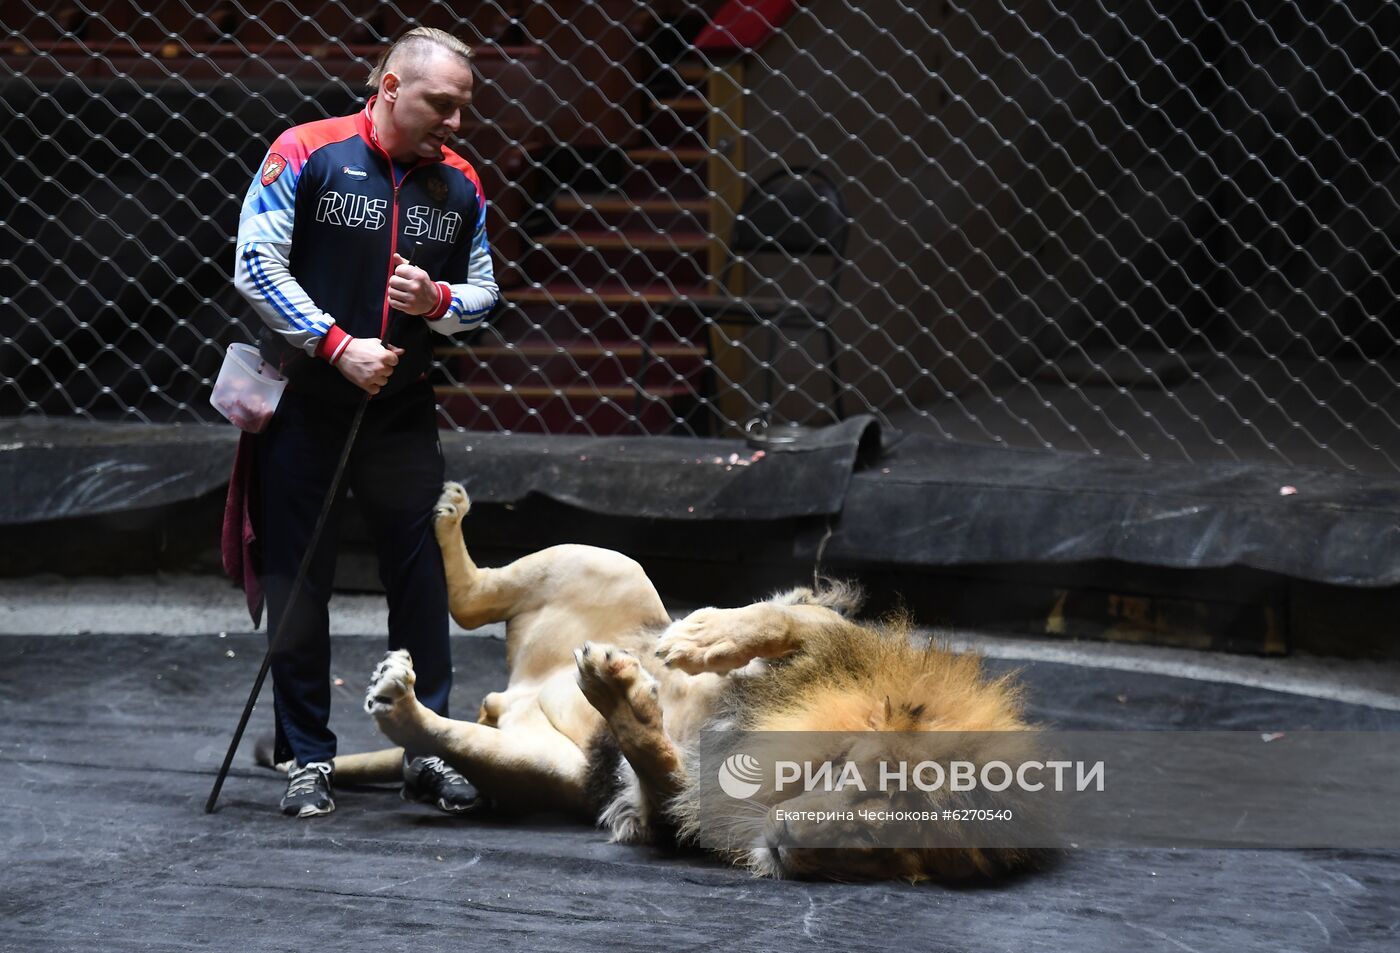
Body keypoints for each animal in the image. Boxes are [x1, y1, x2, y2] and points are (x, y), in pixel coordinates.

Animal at [333, 478, 1047, 878]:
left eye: (876, 847)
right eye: (865, 791)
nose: (786, 846)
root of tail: (516, 689)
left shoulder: (666, 809)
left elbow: (654, 763)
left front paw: (623, 696)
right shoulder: (833, 636)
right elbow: (776, 618)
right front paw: (700, 640)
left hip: (535, 762)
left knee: (443, 712)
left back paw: (399, 696)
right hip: (603, 561)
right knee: (472, 598)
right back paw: (450, 514)